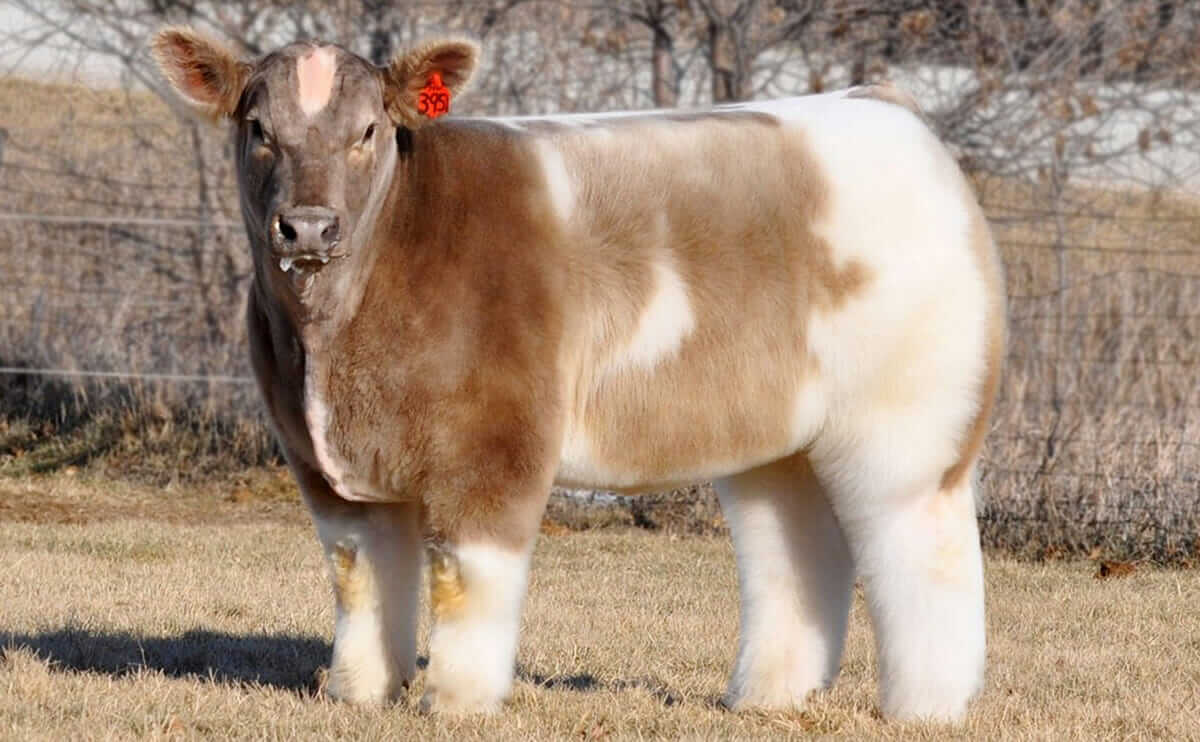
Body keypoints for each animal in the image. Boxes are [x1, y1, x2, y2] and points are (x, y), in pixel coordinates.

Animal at [152, 28, 1005, 721]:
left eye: (368, 131)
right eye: (258, 129)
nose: (308, 227)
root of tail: (888, 108)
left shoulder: (495, 443)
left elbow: (467, 579)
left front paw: (455, 702)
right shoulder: (323, 464)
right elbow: (360, 580)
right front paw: (360, 694)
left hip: (910, 425)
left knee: (921, 552)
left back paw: (927, 707)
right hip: (779, 438)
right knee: (794, 550)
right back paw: (767, 697)